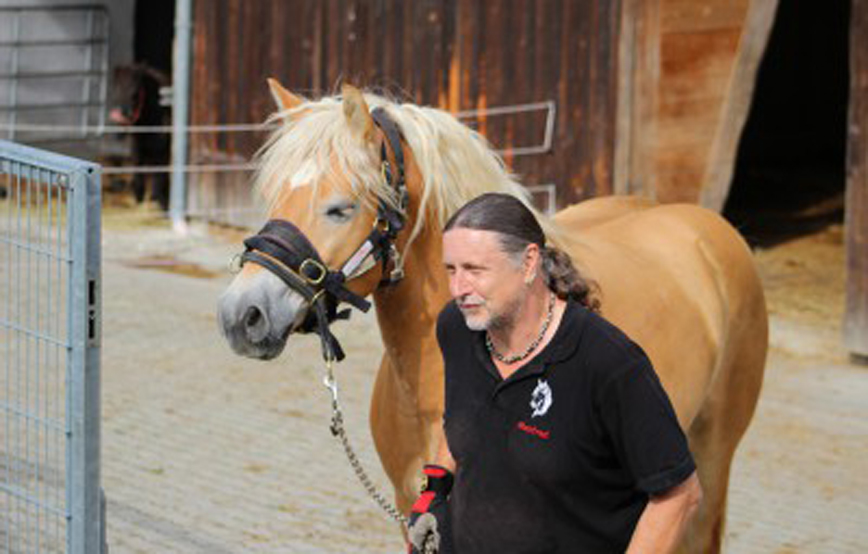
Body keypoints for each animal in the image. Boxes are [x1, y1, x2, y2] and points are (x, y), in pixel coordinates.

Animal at [109, 64, 171, 211]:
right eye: (115, 89)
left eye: (136, 92)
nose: (120, 117)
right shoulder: (137, 147)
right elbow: (138, 172)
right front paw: (139, 198)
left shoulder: (162, 149)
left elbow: (159, 175)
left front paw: (159, 202)